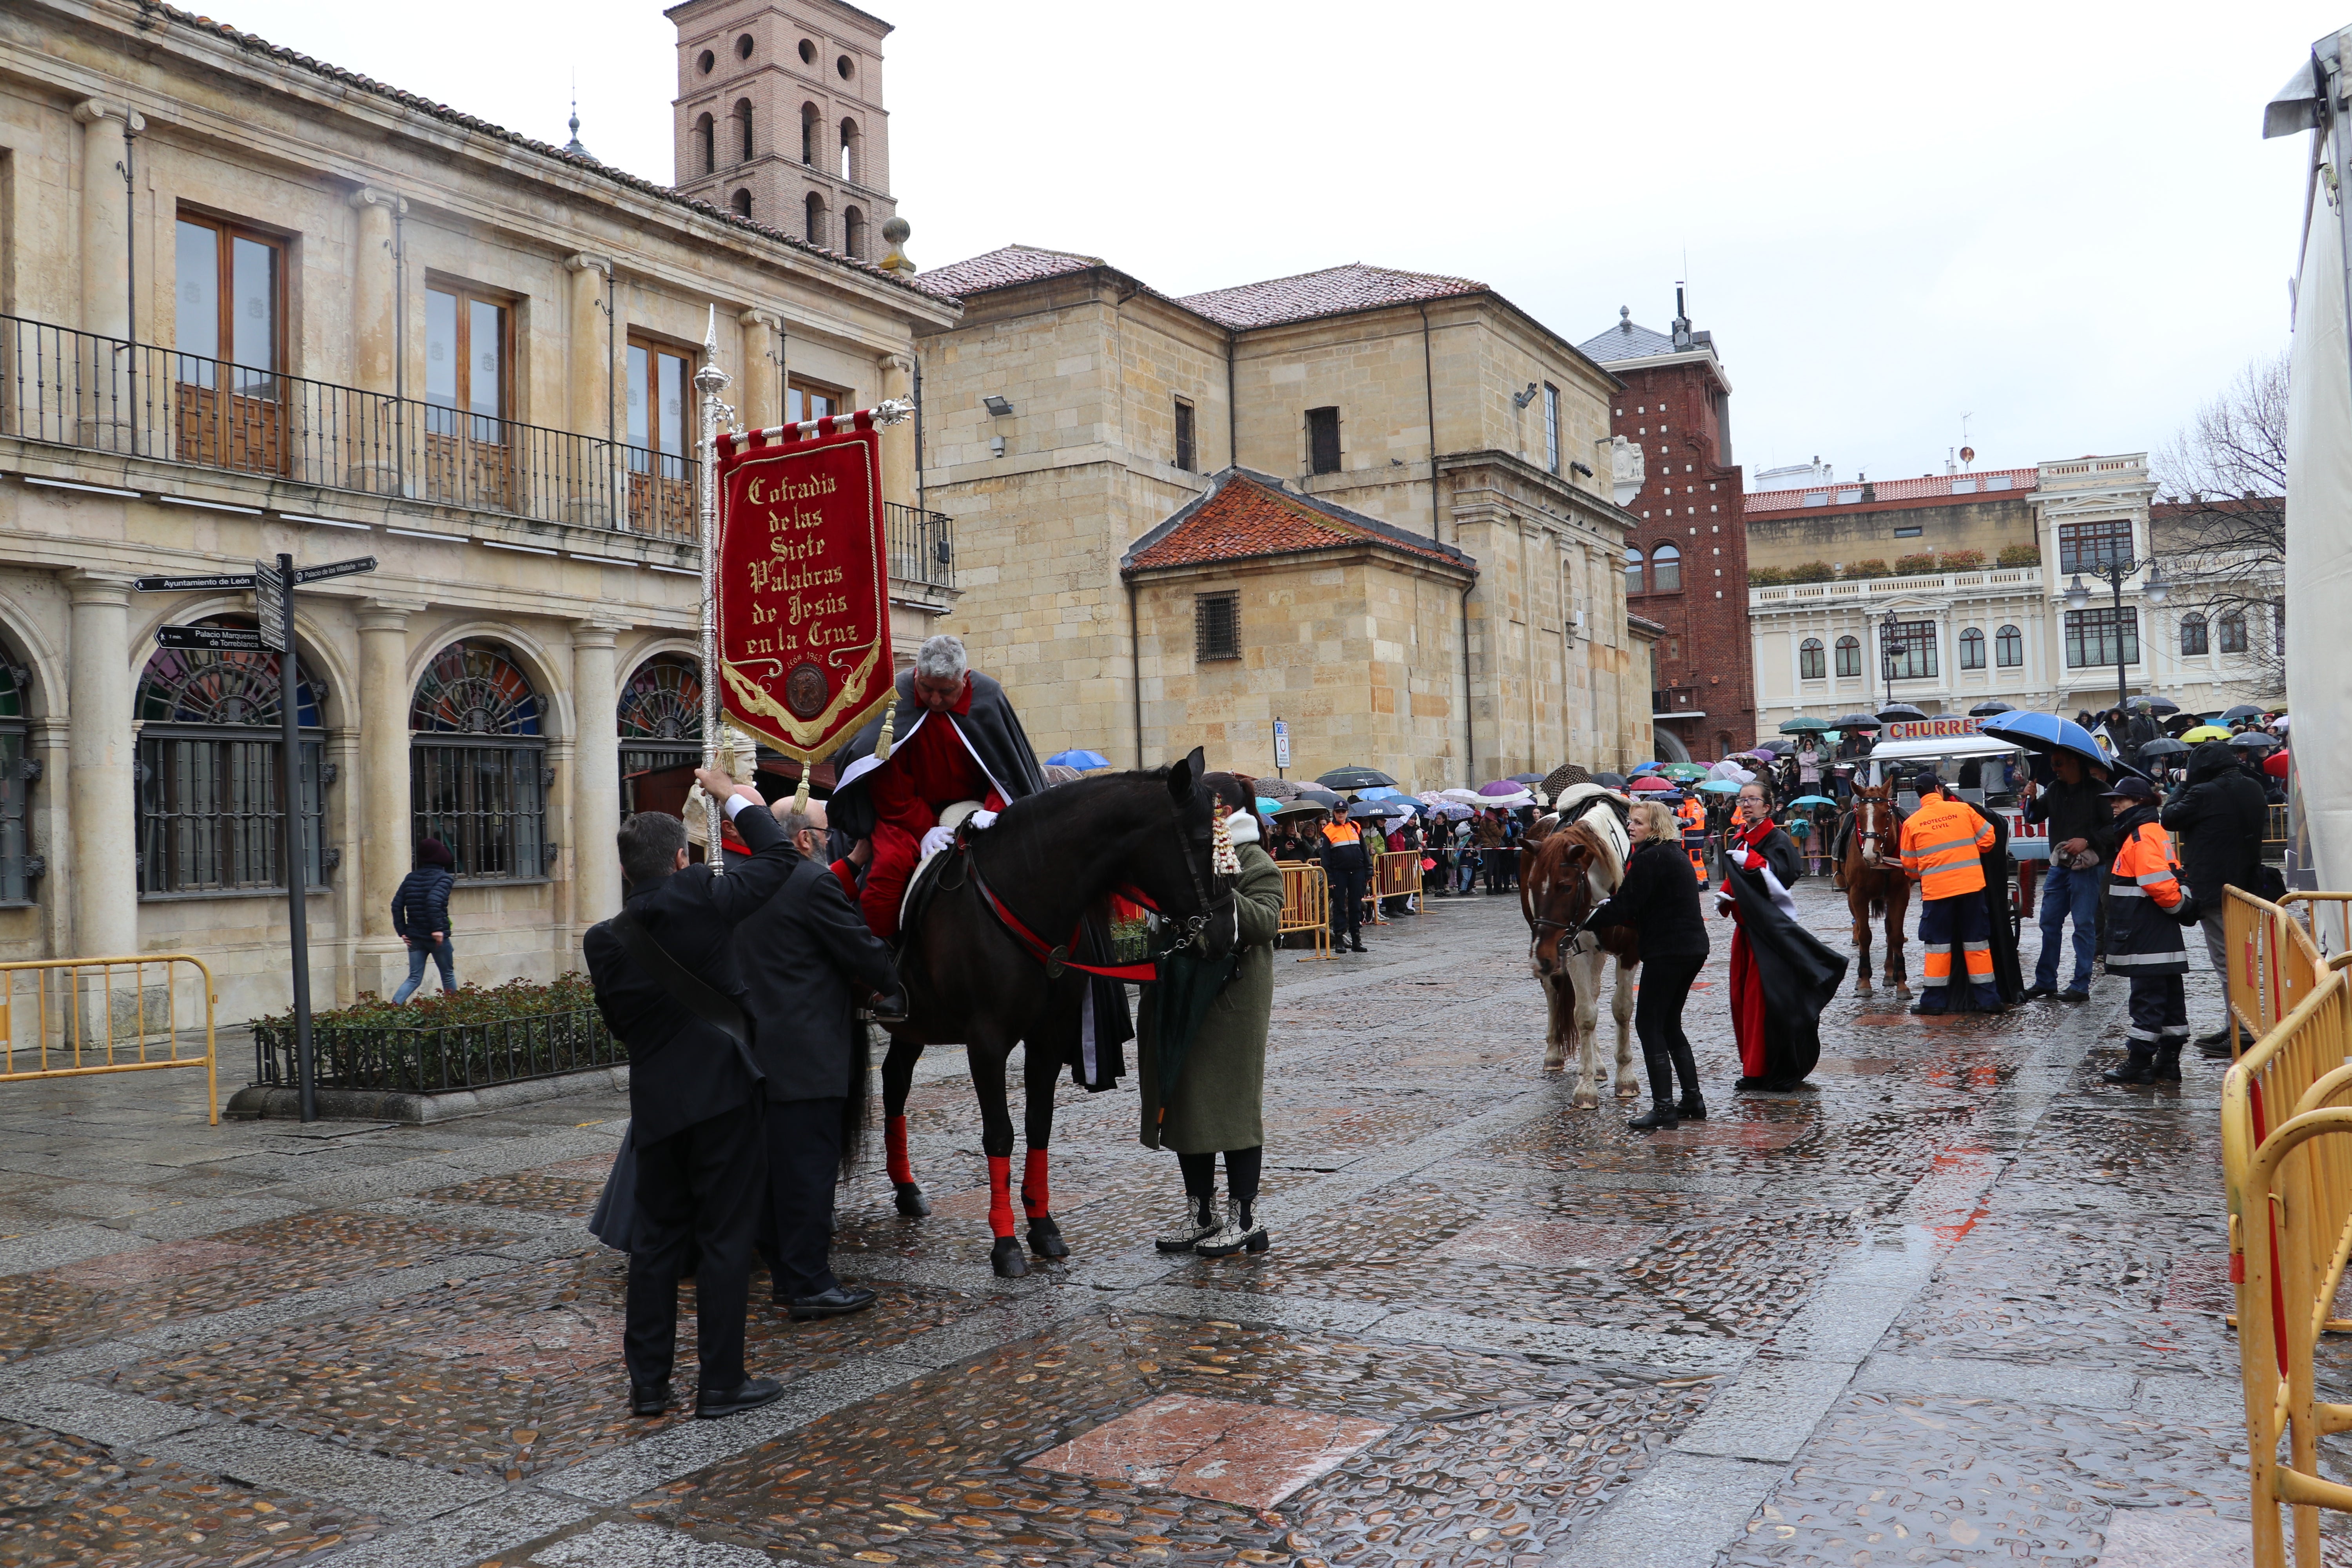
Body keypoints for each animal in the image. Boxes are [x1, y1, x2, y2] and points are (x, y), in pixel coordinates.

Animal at [870, 748, 1232, 1279]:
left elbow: (1038, 1124)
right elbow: (1000, 1134)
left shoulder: (1048, 1038)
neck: (1027, 891)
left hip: (915, 1027)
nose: (1228, 934)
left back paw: (907, 1190)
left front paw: (1042, 1227)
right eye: (1207, 841)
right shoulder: (986, 1042)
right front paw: (1005, 1243)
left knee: (895, 1081)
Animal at [1515, 818, 1646, 1109]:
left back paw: (1598, 1065)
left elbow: (1622, 1009)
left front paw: (1626, 1078)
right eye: (1531, 884)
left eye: (1565, 886)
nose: (1541, 958)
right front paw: (1585, 1088)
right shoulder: (1575, 950)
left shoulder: (1630, 951)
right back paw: (1555, 1053)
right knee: (1555, 992)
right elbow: (1585, 1015)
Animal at [1835, 780, 1910, 992]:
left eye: (1885, 813)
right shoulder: (1857, 895)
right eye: (1859, 815)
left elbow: (1896, 935)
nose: (1870, 854)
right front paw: (1864, 980)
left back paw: (1890, 973)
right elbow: (1865, 936)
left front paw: (1901, 982)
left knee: (1889, 930)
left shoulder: (1901, 894)